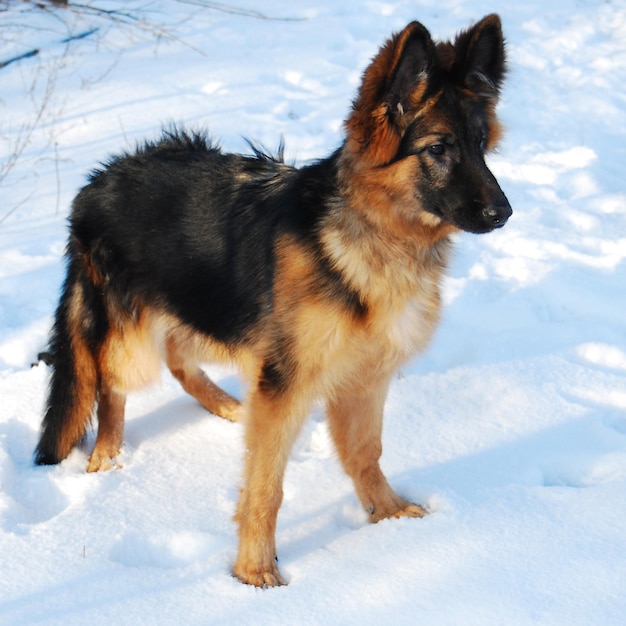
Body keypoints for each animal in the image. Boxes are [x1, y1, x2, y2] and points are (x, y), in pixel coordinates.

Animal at [35, 12, 508, 584]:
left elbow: (366, 452)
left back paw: (223, 405)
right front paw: (254, 571)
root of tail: (94, 182)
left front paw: (386, 514)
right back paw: (106, 457)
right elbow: (266, 486)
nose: (504, 213)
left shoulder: (364, 377)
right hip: (135, 337)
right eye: (438, 149)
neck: (368, 235)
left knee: (178, 355)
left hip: (208, 306)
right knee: (112, 384)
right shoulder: (287, 384)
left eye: (481, 143)